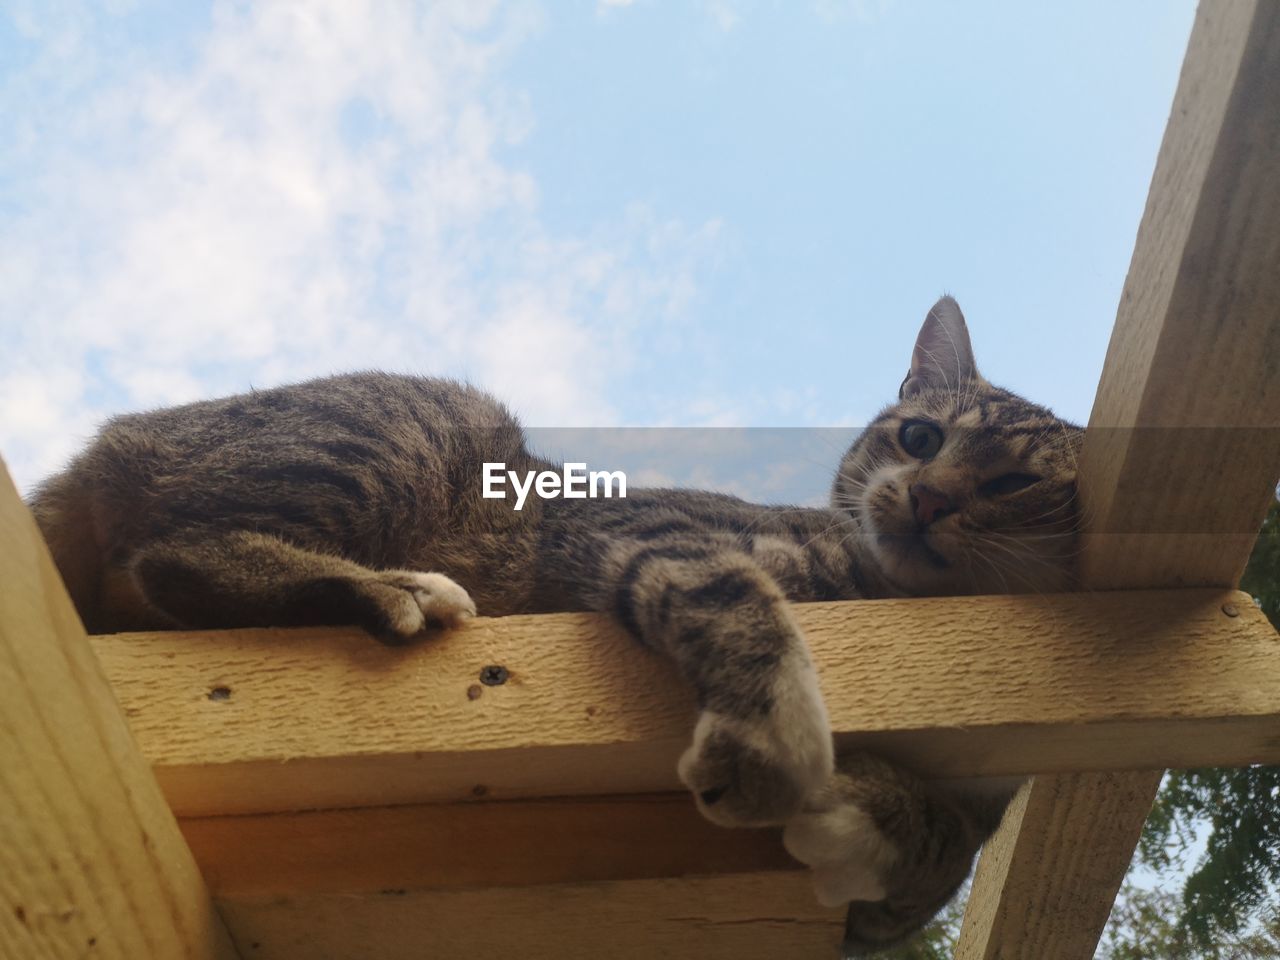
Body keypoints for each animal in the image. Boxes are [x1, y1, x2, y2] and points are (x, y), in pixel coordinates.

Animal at [27, 299, 1080, 957]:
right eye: (919, 436)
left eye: (1016, 483)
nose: (928, 497)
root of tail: (101, 450)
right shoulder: (644, 534)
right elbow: (743, 603)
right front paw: (774, 739)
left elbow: (948, 858)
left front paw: (881, 826)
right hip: (420, 430)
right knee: (173, 557)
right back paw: (388, 589)